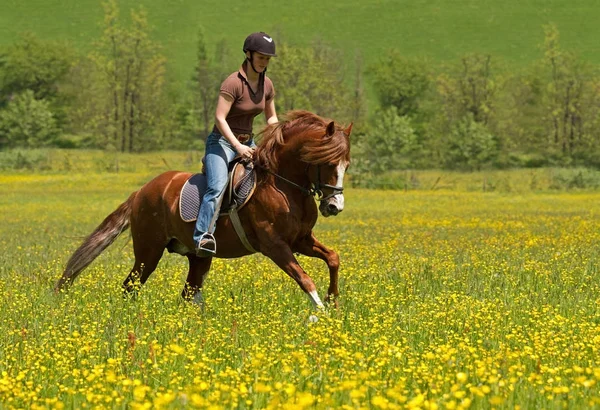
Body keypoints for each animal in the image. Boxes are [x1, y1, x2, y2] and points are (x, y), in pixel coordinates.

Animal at [55, 110, 352, 310]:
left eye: (346, 165)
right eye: (327, 162)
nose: (334, 206)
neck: (282, 185)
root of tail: (141, 191)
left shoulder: (300, 240)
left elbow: (333, 258)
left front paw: (333, 301)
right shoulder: (275, 246)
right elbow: (304, 279)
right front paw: (320, 313)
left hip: (198, 257)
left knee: (187, 294)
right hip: (148, 252)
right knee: (130, 286)